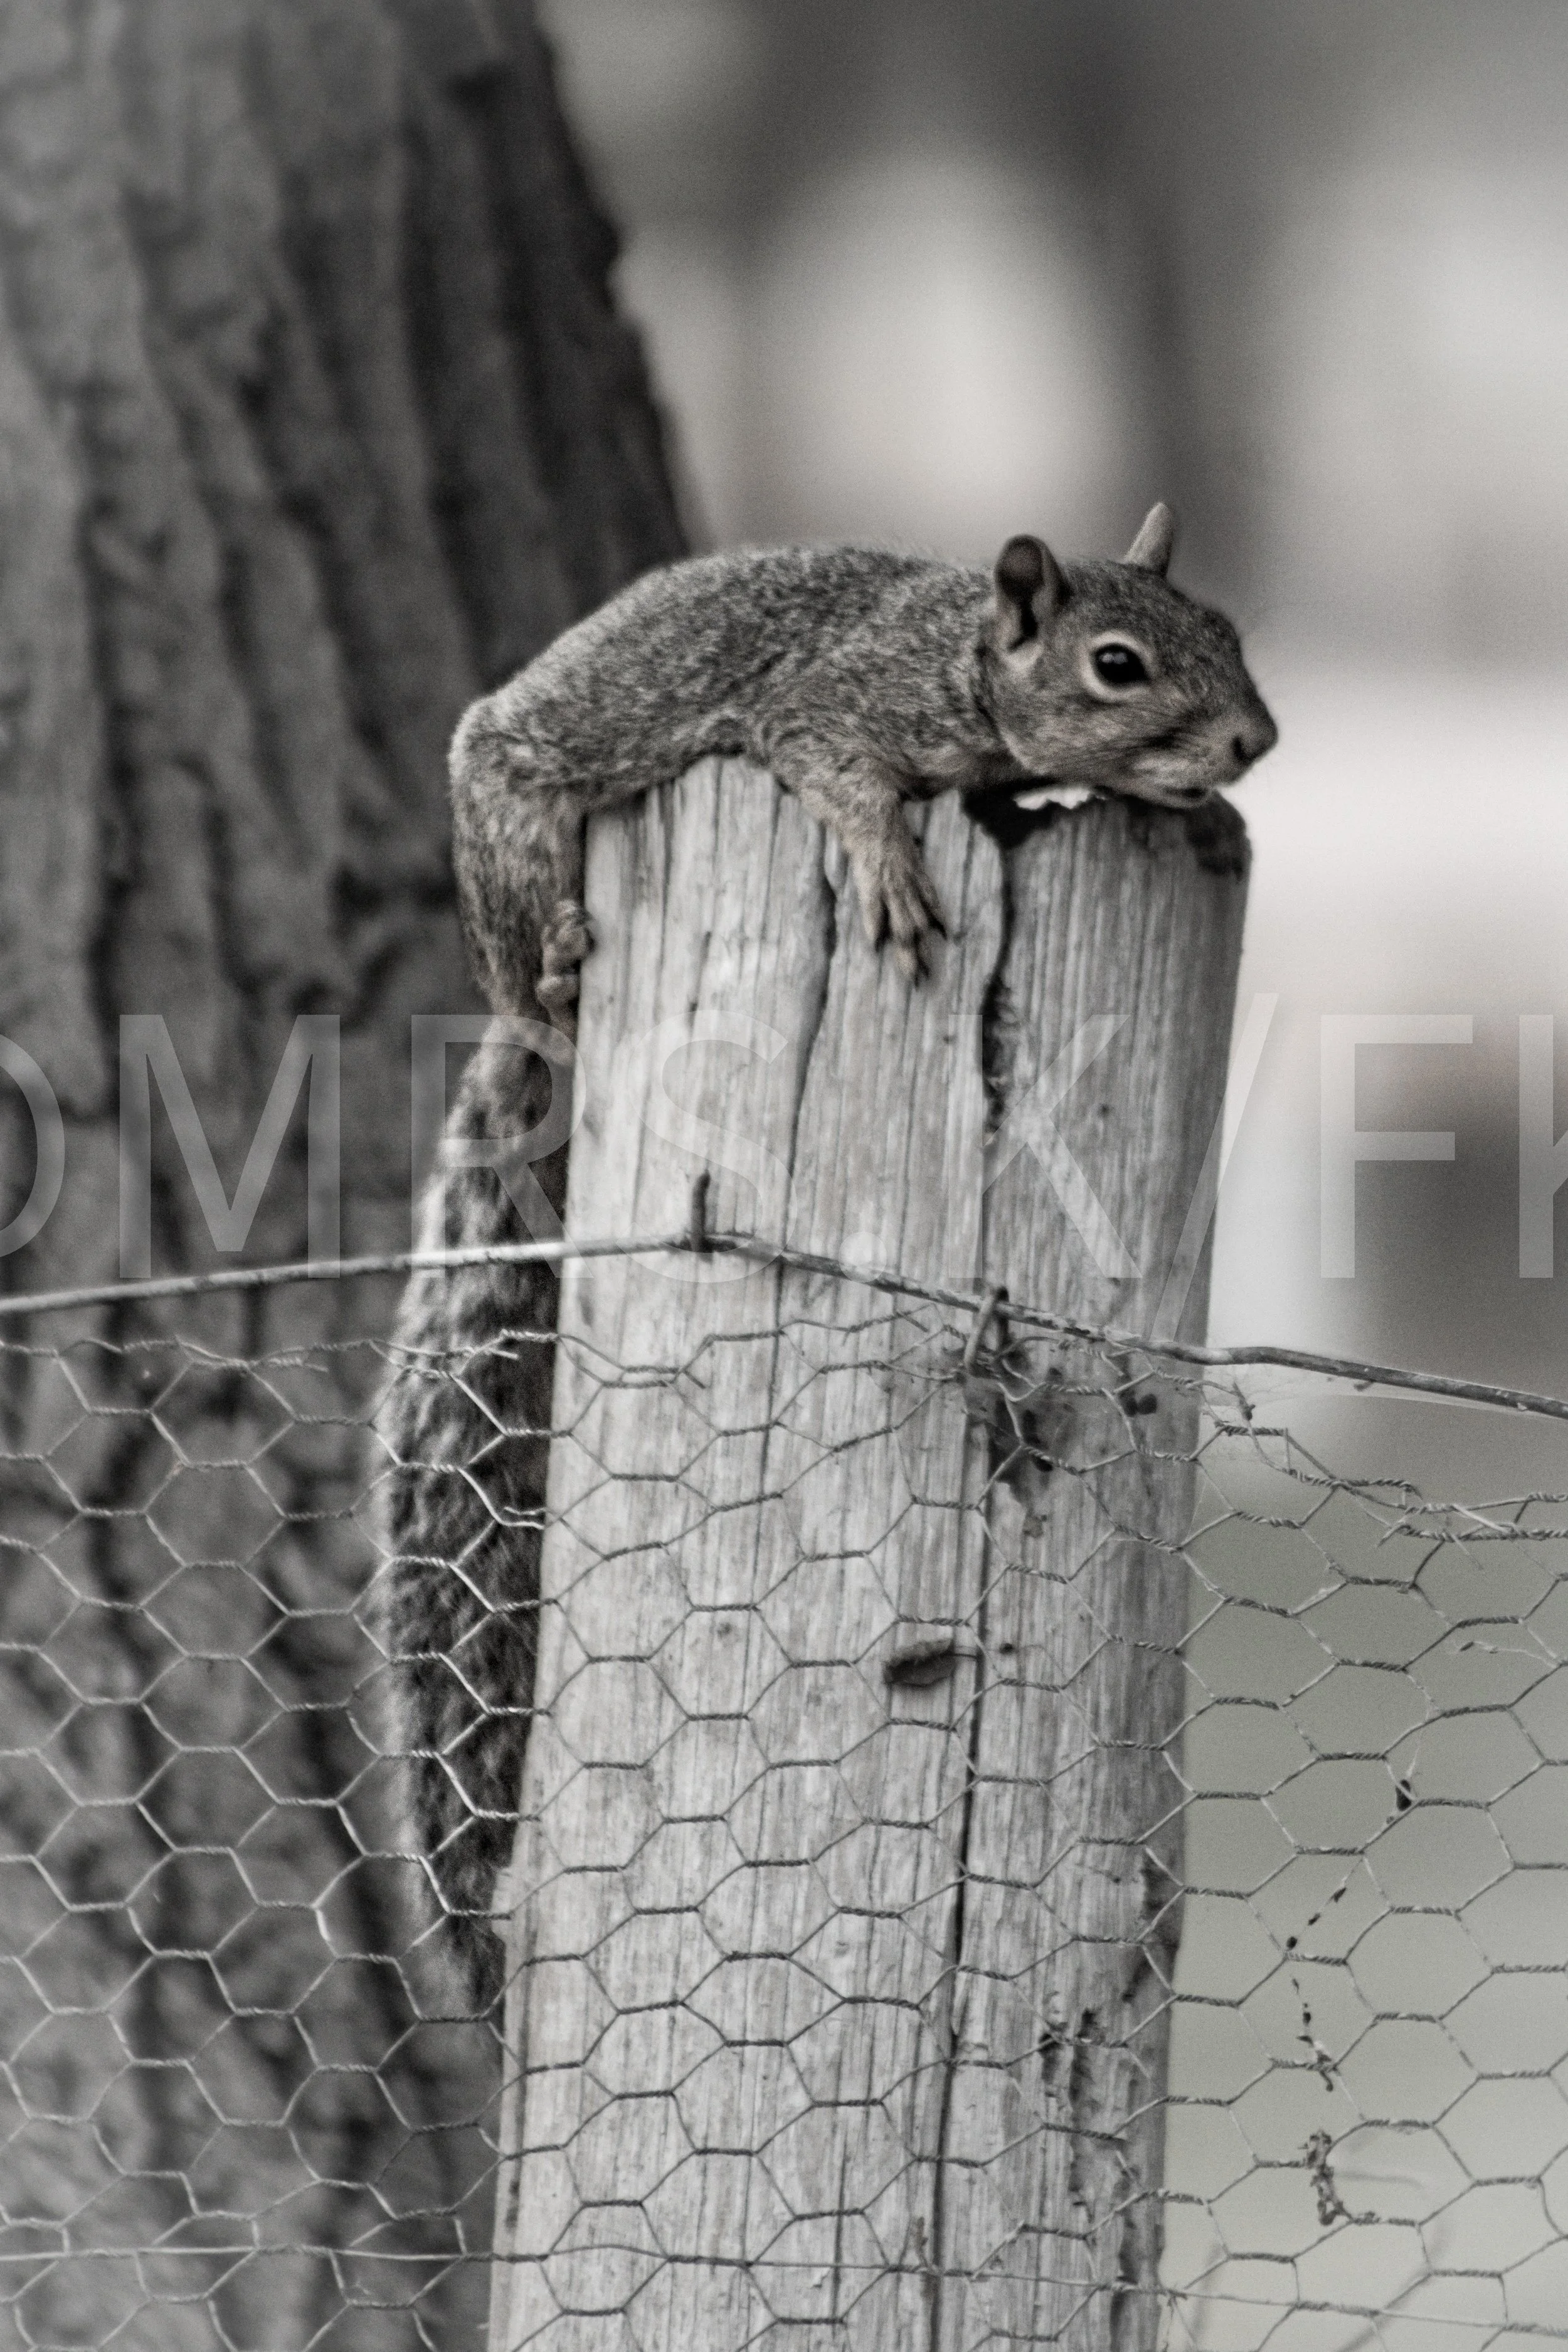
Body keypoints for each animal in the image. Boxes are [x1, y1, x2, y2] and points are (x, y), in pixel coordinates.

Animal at [375, 508, 1277, 2003]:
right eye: (1117, 663)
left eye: (1231, 634)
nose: (1254, 740)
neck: (962, 661)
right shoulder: (827, 705)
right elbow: (838, 773)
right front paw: (891, 863)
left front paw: (1196, 816)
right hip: (513, 819)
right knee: (526, 939)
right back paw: (554, 962)